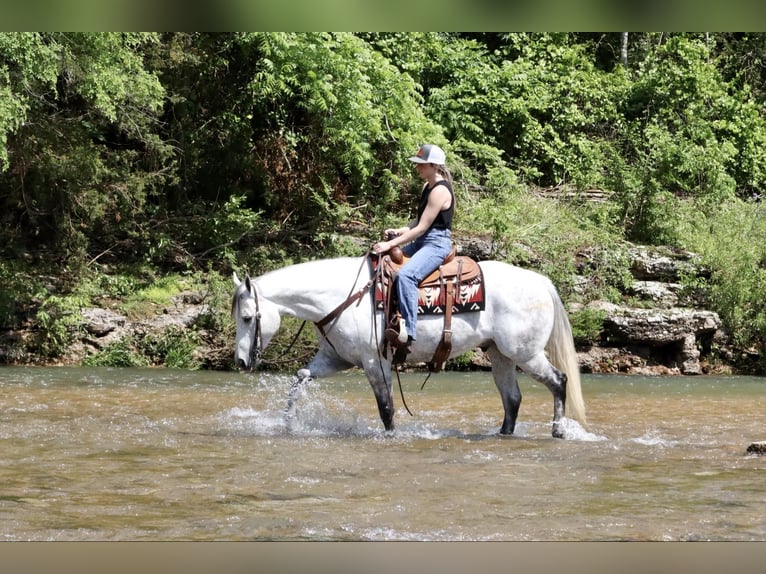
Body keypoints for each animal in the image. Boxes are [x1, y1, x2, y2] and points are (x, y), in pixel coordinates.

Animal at [232, 254, 588, 438]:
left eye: (248, 317)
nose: (240, 362)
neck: (341, 297)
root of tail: (540, 281)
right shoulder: (336, 359)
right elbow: (299, 379)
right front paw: (289, 424)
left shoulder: (375, 362)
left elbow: (386, 407)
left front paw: (391, 437)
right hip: (501, 355)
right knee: (512, 398)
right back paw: (504, 434)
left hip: (525, 353)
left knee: (559, 381)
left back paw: (558, 431)